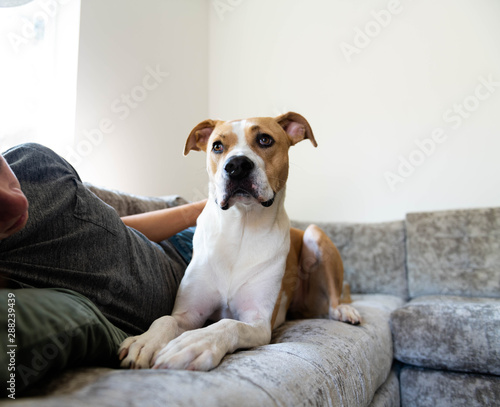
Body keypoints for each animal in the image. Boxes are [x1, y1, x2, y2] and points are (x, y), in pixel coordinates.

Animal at [119, 112, 362, 372]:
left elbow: (227, 324)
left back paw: (345, 310)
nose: (236, 166)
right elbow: (165, 319)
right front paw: (145, 342)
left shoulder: (258, 322)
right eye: (217, 146)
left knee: (334, 298)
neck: (241, 229)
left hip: (314, 235)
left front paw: (194, 343)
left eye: (265, 139)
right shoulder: (188, 314)